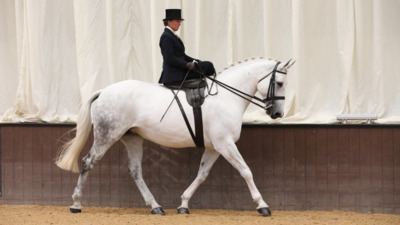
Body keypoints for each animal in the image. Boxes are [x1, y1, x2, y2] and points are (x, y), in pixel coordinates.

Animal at [55, 57, 294, 216]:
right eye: (280, 83)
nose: (277, 114)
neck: (227, 97)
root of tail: (104, 91)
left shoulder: (214, 147)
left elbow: (202, 174)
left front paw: (183, 204)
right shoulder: (224, 144)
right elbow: (246, 171)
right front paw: (262, 205)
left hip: (132, 138)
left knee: (135, 170)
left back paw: (156, 207)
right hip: (108, 135)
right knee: (88, 162)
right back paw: (76, 204)